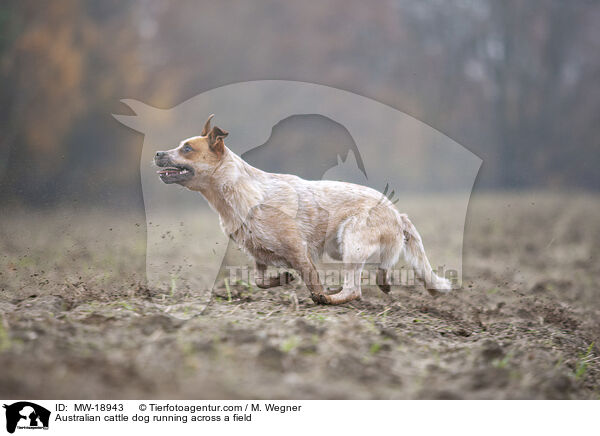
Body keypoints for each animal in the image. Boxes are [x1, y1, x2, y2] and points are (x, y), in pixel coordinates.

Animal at [155, 114, 450, 304]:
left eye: (187, 148)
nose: (158, 153)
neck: (238, 193)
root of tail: (397, 213)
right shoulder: (258, 252)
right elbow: (260, 280)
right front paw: (283, 279)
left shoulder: (298, 249)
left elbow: (312, 280)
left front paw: (317, 295)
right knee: (382, 271)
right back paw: (382, 284)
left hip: (351, 242)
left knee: (354, 289)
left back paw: (332, 298)